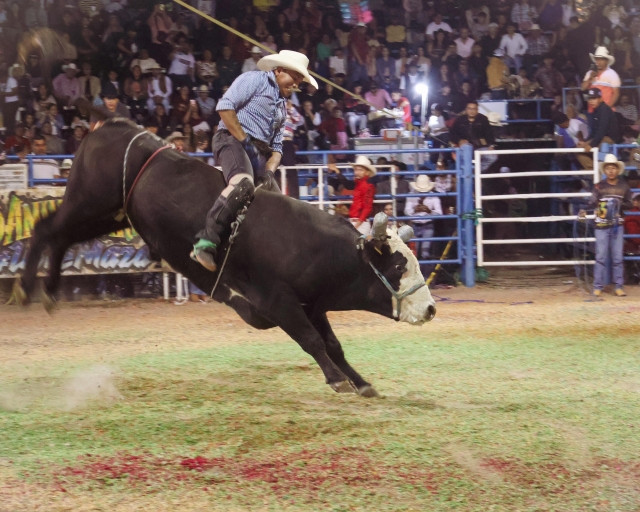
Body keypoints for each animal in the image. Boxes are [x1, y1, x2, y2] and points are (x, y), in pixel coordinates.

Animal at [13, 120, 436, 396]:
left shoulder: (311, 304)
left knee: (58, 235)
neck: (307, 244)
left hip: (108, 214)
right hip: (89, 201)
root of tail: (107, 126)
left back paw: (48, 292)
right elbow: (311, 341)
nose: (431, 309)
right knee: (47, 230)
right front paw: (338, 381)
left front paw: (361, 382)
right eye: (398, 266)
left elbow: (332, 344)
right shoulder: (278, 302)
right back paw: (28, 289)